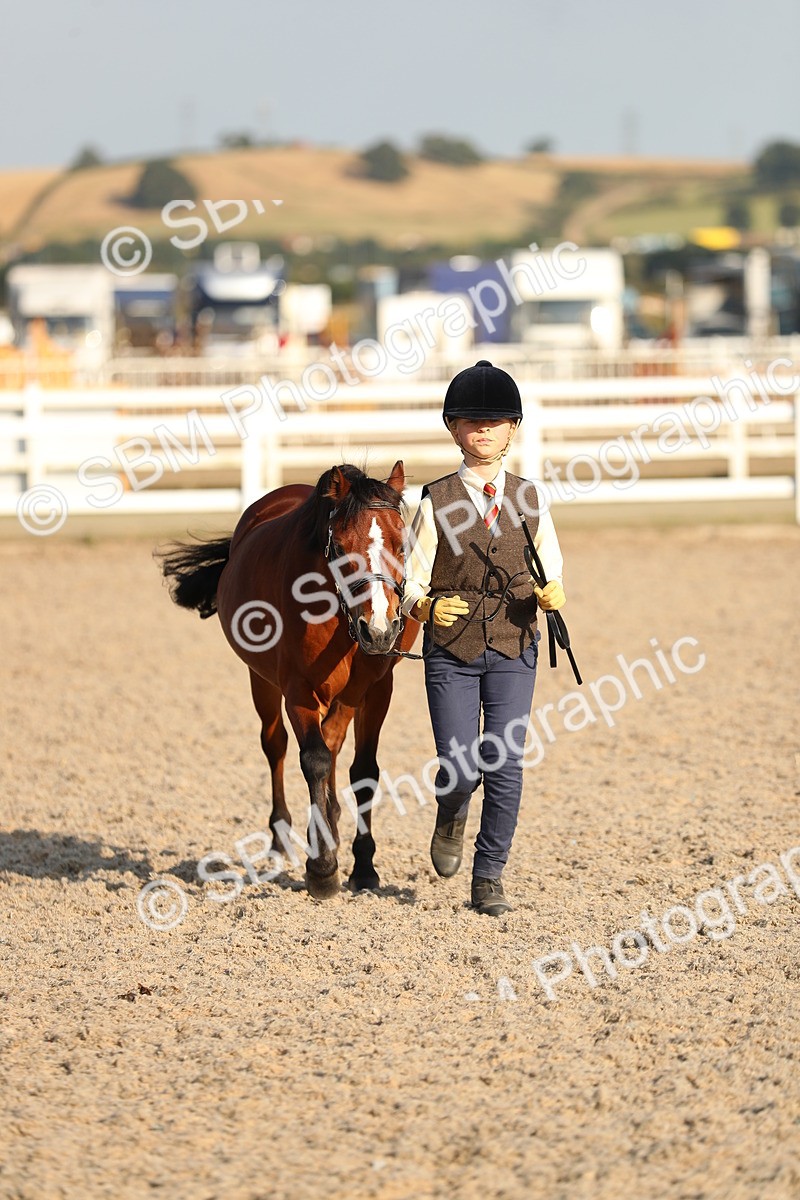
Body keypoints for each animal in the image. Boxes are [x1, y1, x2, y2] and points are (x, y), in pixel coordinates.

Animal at [157, 461, 420, 899]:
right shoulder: (298, 688)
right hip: (261, 681)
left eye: (402, 546)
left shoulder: (376, 689)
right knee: (276, 744)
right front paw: (322, 868)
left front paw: (363, 866)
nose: (381, 630)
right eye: (341, 548)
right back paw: (284, 836)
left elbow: (362, 769)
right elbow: (314, 759)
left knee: (332, 745)